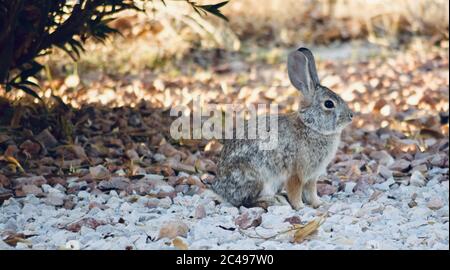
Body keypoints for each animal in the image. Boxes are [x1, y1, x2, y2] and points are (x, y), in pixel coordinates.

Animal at [213, 47, 354, 210]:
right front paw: (300, 207)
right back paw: (275, 201)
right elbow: (296, 192)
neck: (310, 126)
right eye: (329, 104)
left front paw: (320, 204)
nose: (351, 116)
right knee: (246, 201)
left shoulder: (312, 176)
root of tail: (221, 190)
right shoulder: (295, 173)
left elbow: (311, 192)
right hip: (257, 178)